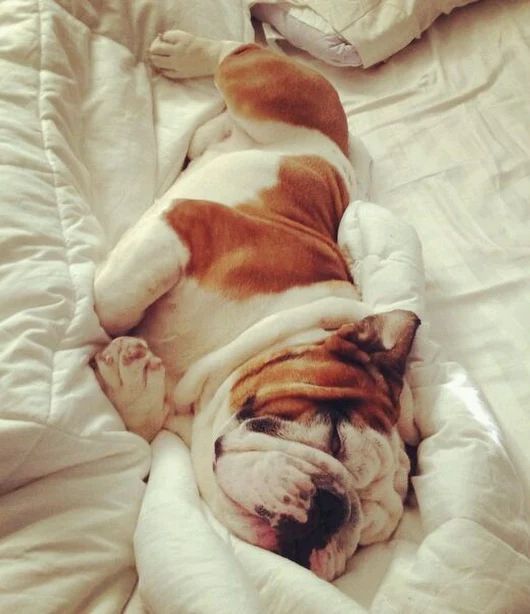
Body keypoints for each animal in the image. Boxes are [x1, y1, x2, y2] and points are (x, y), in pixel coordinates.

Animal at [93, 31, 418, 584]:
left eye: (366, 538)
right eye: (334, 438)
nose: (335, 511)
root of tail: (335, 149)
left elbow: (142, 425)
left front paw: (131, 378)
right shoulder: (186, 226)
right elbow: (111, 303)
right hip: (270, 91)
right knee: (238, 49)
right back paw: (187, 51)